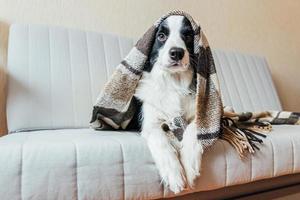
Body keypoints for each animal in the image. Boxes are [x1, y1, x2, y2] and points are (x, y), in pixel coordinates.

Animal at [134, 15, 204, 194]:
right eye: (161, 36)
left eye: (188, 35)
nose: (177, 53)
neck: (174, 82)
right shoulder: (150, 123)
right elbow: (160, 139)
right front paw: (174, 175)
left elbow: (194, 127)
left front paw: (189, 164)